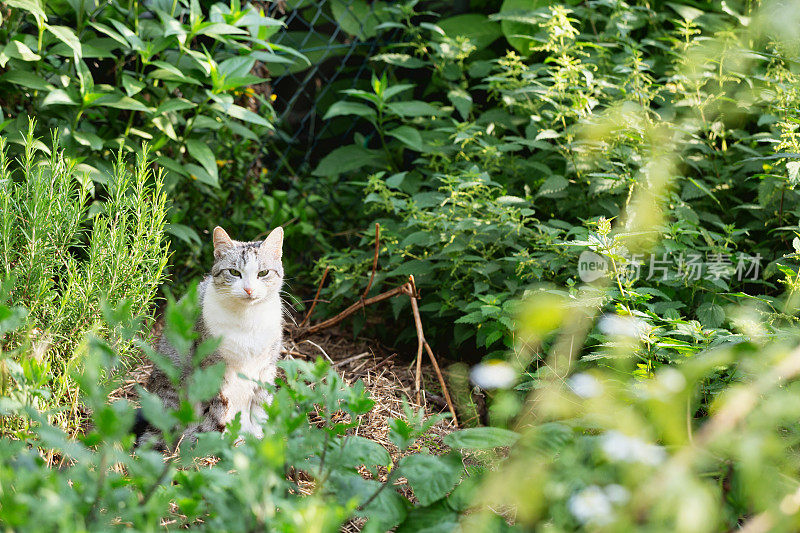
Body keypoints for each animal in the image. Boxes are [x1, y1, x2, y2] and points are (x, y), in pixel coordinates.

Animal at [139, 225, 286, 444]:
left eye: (263, 273)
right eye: (234, 272)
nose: (249, 290)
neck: (247, 318)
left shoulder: (267, 366)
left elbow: (260, 406)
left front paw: (259, 441)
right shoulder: (212, 367)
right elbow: (219, 409)